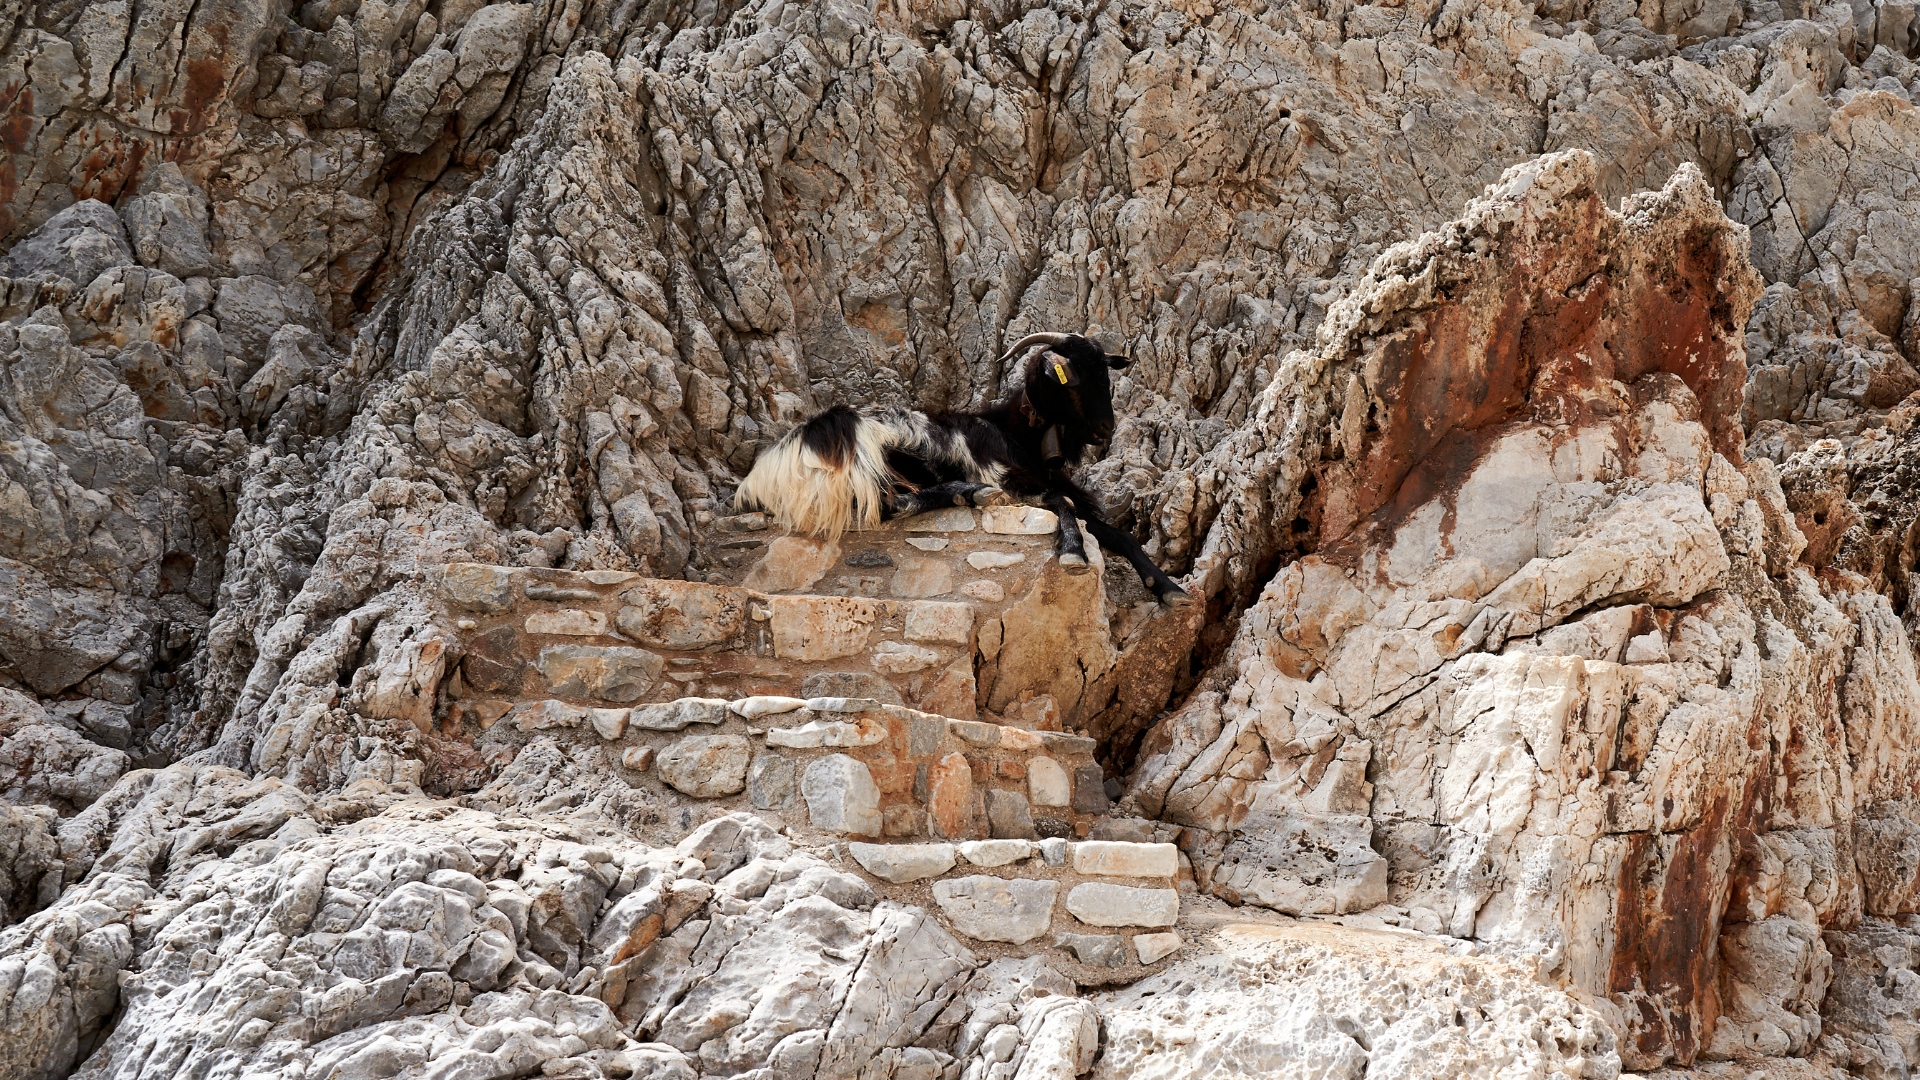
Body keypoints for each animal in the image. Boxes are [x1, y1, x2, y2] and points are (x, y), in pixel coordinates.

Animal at [729, 330, 1190, 595]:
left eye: (1105, 374)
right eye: (1072, 378)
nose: (1105, 429)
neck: (1015, 433)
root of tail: (763, 473)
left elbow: (1117, 532)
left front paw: (1169, 588)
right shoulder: (1013, 481)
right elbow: (1063, 504)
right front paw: (1074, 551)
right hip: (878, 454)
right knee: (893, 503)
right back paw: (972, 494)